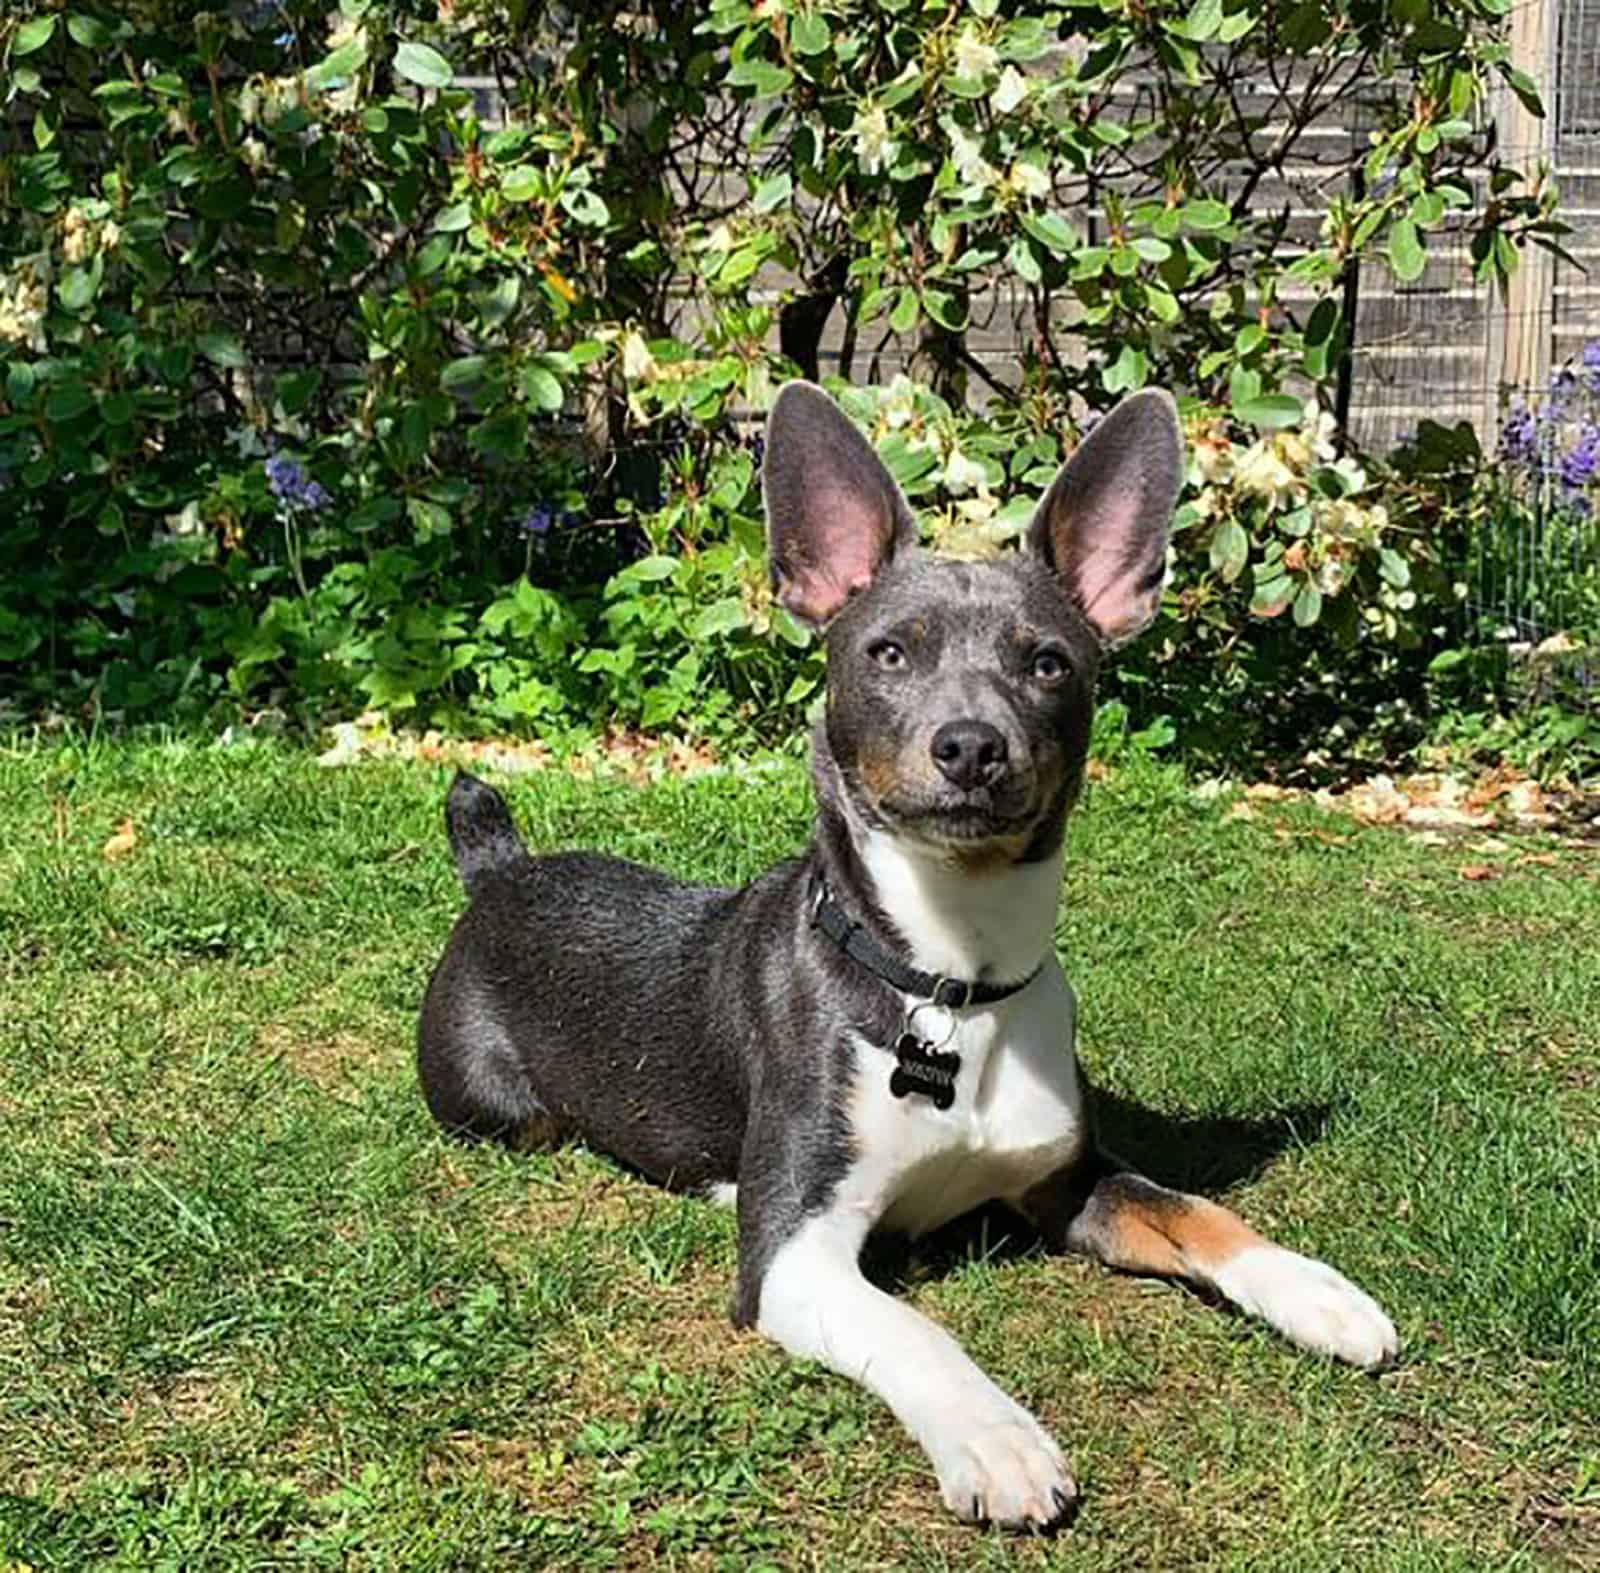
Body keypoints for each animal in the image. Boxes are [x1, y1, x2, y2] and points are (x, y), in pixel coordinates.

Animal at [416, 380, 1401, 1536]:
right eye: (888, 651)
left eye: (1046, 660)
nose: (971, 745)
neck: (952, 983)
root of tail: (498, 867)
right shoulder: (795, 1254)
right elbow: (914, 1327)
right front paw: (995, 1436)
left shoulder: (1070, 1180)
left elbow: (1193, 1209)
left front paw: (1316, 1289)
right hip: (501, 1110)